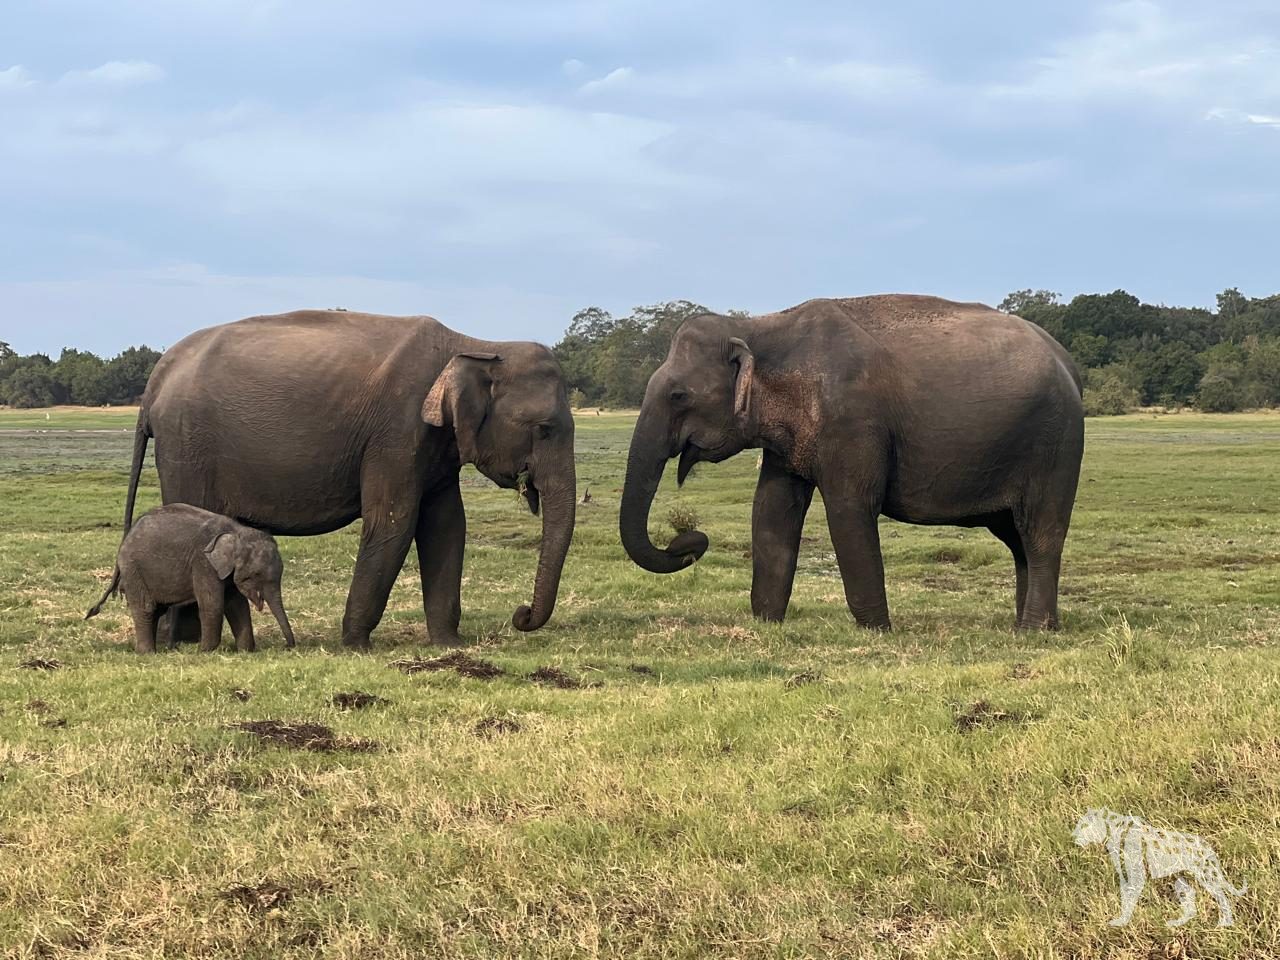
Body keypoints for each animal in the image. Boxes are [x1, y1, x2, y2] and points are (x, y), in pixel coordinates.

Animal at [86, 503, 297, 653]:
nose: (288, 647)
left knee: (156, 610)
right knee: (145, 608)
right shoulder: (203, 564)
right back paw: (148, 653)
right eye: (256, 575)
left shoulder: (224, 571)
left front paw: (246, 651)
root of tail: (124, 541)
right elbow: (213, 605)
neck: (237, 531)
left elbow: (237, 606)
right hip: (133, 569)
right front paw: (205, 651)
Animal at [115, 310, 575, 649]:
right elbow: (393, 523)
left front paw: (449, 645)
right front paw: (355, 646)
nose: (520, 615)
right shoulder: (397, 433)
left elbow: (446, 527)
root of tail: (155, 383)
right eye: (544, 429)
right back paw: (180, 643)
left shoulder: (437, 446)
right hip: (186, 446)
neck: (477, 345)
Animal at [619, 295, 1084, 631]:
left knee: (1041, 534)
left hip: (1056, 445)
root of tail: (1068, 362)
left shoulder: (852, 422)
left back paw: (1034, 630)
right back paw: (1026, 626)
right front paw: (766, 624)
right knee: (1017, 539)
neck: (761, 326)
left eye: (678, 395)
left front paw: (877, 630)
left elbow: (849, 509)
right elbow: (771, 509)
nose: (690, 541)